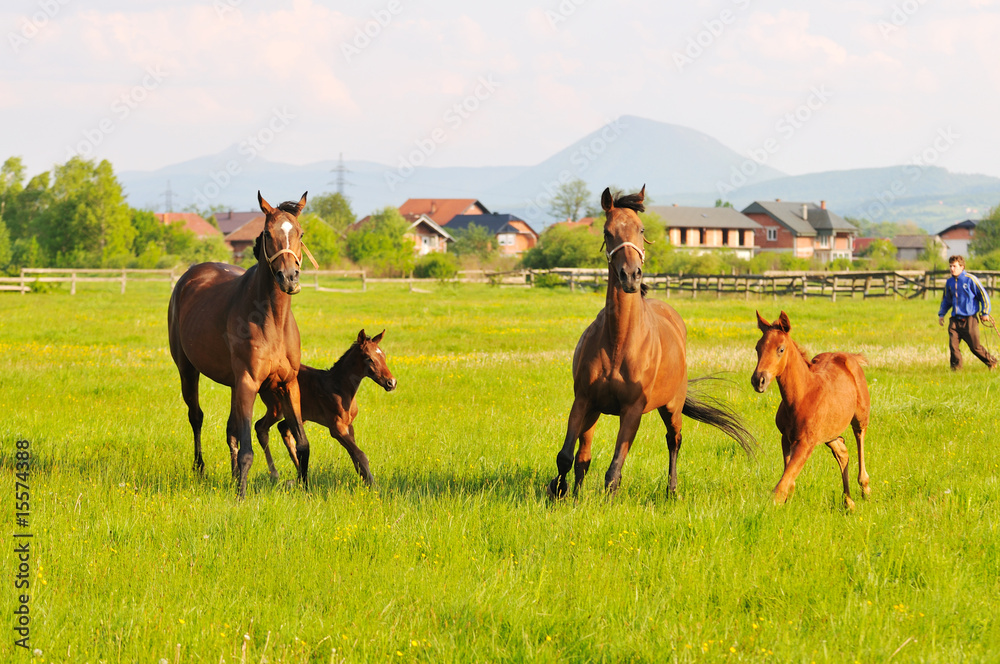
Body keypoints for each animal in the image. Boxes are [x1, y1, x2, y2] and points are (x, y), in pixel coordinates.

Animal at [168, 191, 312, 498]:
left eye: (300, 232)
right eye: (268, 233)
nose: (289, 277)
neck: (271, 320)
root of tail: (190, 275)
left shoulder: (288, 383)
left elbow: (302, 443)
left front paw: (306, 489)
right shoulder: (248, 382)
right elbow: (247, 449)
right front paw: (241, 496)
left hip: (234, 384)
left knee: (230, 429)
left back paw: (233, 476)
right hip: (188, 371)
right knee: (196, 416)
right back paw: (200, 468)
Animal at [254, 329, 397, 485]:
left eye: (383, 356)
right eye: (369, 358)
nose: (391, 382)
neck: (339, 387)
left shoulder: (349, 425)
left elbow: (355, 456)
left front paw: (366, 481)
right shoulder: (336, 427)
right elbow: (360, 455)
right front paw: (373, 485)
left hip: (299, 414)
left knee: (283, 429)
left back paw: (300, 475)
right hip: (276, 409)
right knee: (260, 427)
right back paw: (275, 474)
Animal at [548, 186, 756, 499]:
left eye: (641, 229)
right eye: (608, 231)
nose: (631, 276)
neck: (619, 342)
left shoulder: (632, 411)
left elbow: (614, 471)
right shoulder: (583, 400)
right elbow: (567, 457)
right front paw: (560, 492)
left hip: (672, 407)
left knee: (674, 440)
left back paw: (672, 490)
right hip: (595, 410)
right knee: (584, 456)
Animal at [751, 311, 871, 508]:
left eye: (781, 349)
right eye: (757, 348)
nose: (758, 380)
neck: (802, 396)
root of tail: (850, 357)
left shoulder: (806, 443)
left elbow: (782, 486)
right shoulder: (786, 438)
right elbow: (789, 481)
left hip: (860, 418)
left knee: (859, 437)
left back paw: (865, 489)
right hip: (830, 431)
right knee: (842, 451)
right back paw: (848, 502)